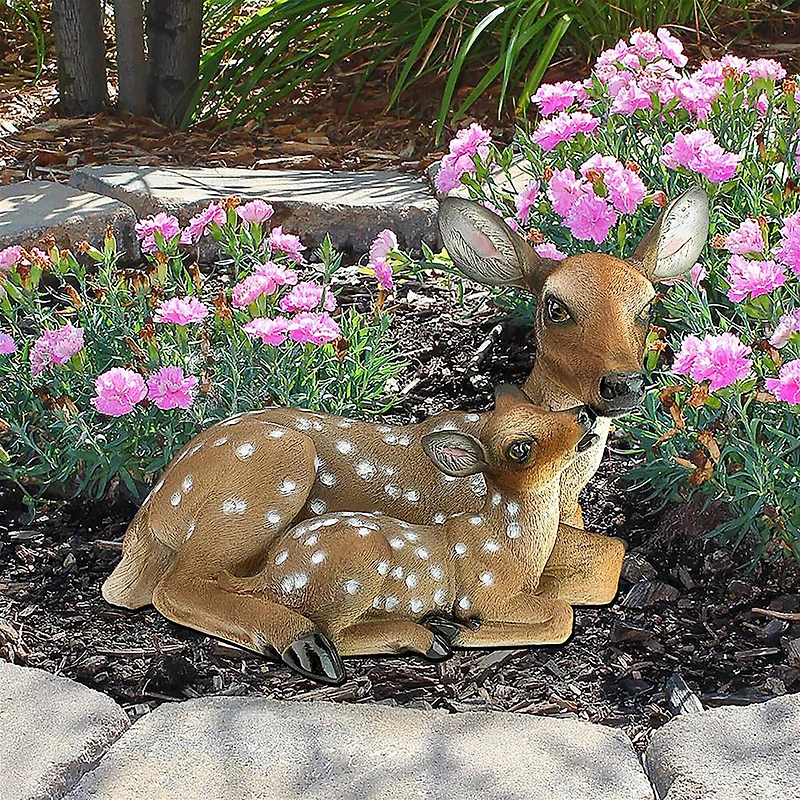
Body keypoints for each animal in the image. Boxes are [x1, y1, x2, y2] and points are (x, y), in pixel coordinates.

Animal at [102, 187, 708, 669]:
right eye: (554, 307)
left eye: (648, 307)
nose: (623, 383)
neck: (563, 491)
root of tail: (149, 516)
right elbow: (597, 569)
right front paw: (470, 624)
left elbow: (607, 556)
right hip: (268, 475)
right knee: (180, 586)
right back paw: (310, 637)